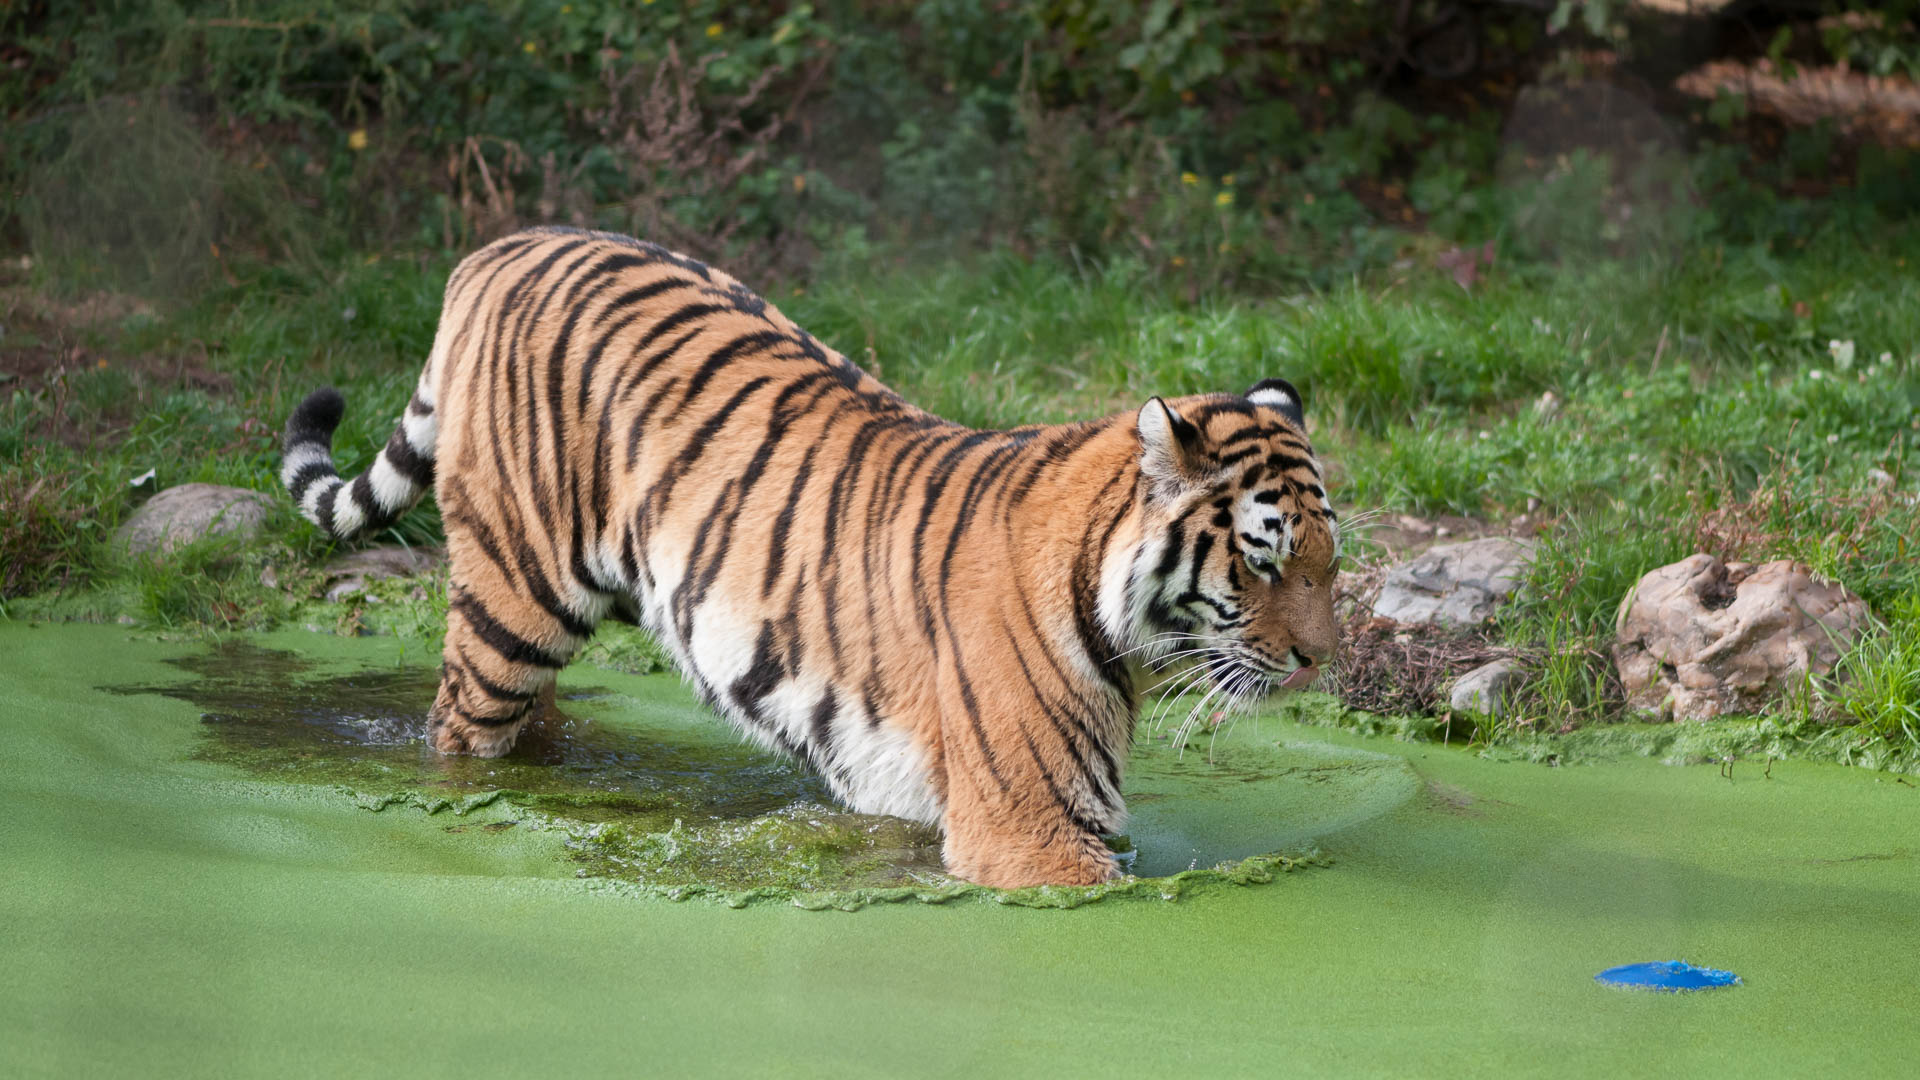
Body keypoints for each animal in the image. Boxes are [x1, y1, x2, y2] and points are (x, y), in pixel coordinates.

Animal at [284, 226, 1336, 883]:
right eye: (1263, 562)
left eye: (1329, 566)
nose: (1320, 662)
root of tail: (498, 247)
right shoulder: (1029, 833)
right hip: (513, 596)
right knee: (459, 727)